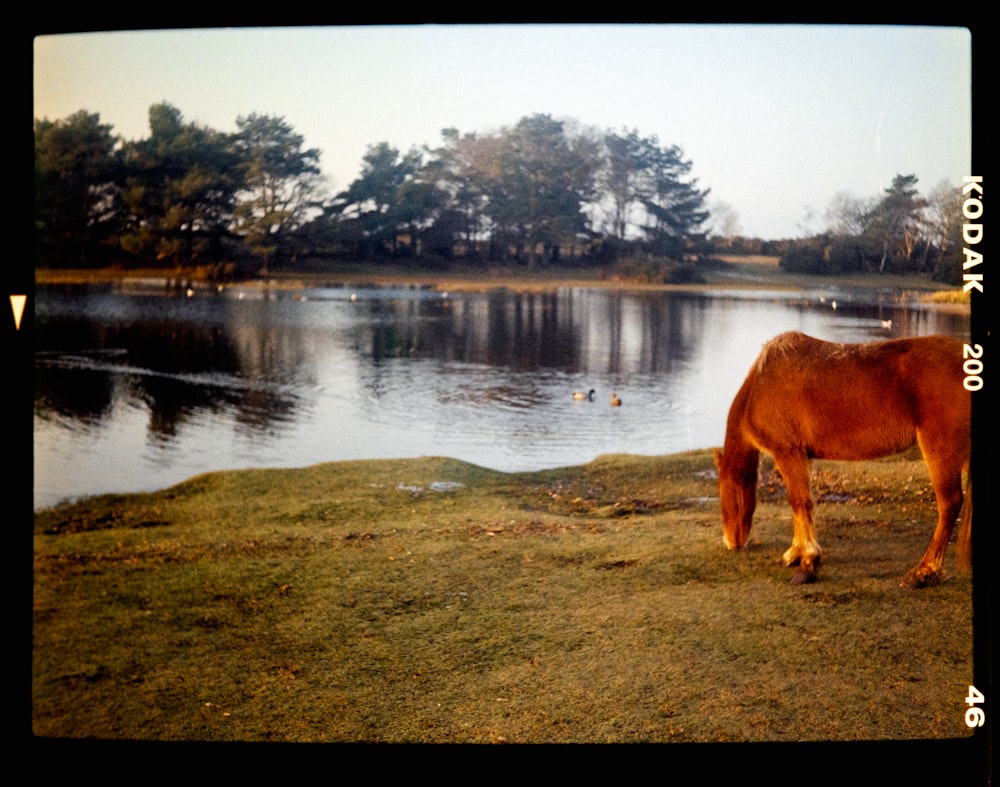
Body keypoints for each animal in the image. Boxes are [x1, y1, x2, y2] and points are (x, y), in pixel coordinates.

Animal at [716, 330, 972, 588]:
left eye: (726, 492)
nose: (731, 541)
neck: (761, 385)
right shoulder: (802, 456)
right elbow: (801, 504)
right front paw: (795, 554)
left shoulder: (788, 452)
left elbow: (800, 502)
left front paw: (808, 564)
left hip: (941, 449)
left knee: (949, 504)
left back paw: (923, 572)